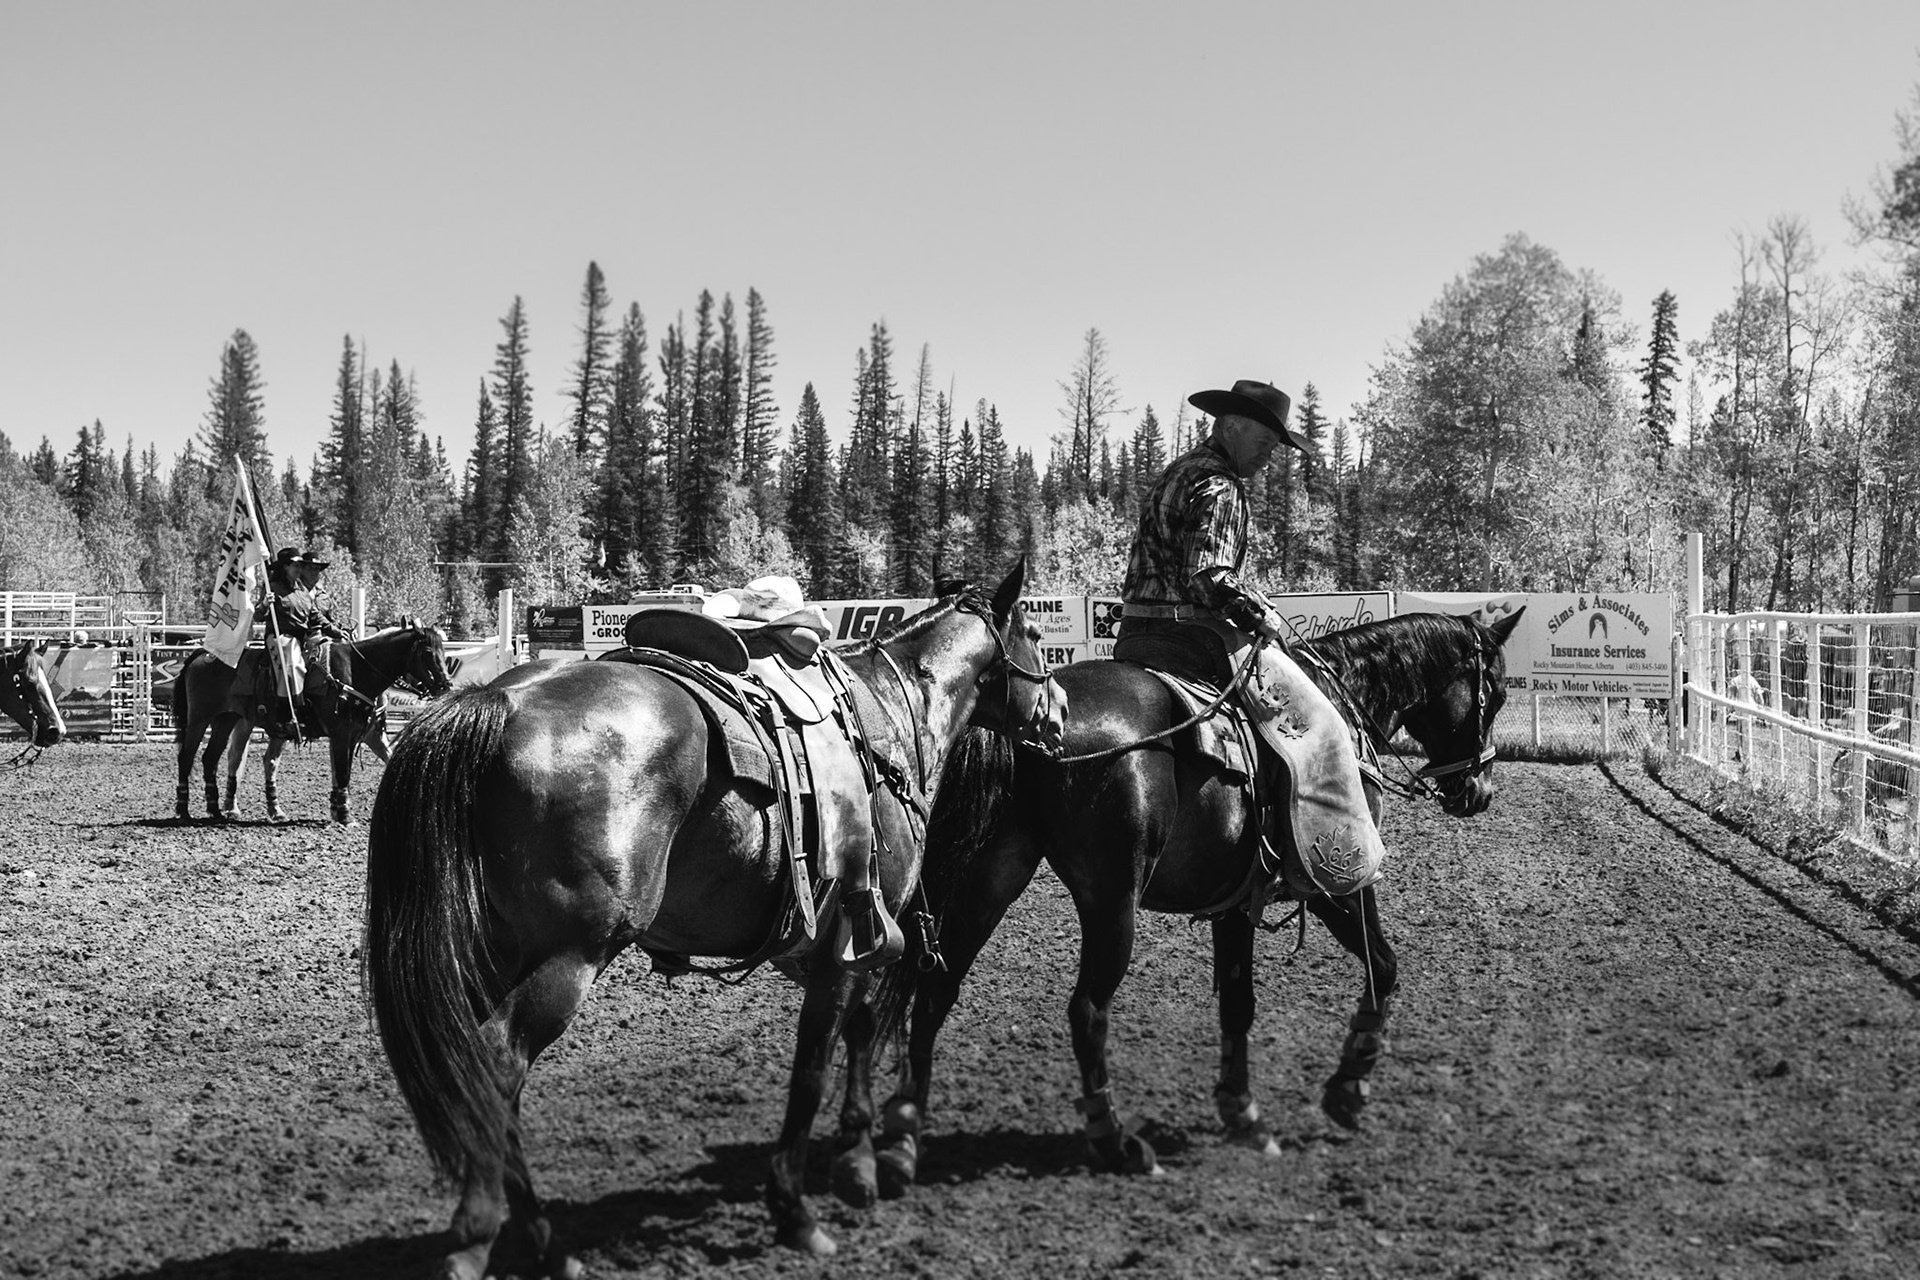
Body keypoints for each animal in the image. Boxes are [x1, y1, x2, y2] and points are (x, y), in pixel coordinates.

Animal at [172, 618, 452, 824]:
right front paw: (345, 816)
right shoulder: (341, 734)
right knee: (193, 756)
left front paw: (338, 809)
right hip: (202, 718)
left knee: (212, 758)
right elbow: (343, 771)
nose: (445, 685)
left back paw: (217, 810)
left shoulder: (361, 735)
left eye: (443, 651)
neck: (355, 670)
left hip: (225, 719)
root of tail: (203, 654)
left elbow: (351, 769)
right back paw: (187, 810)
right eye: (428, 651)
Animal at [361, 561, 1068, 1277]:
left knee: (486, 1079)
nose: (1061, 709)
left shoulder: (825, 945)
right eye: (1037, 634)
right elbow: (813, 1066)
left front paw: (858, 1161)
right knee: (497, 1062)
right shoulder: (847, 936)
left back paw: (545, 1245)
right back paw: (477, 1238)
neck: (892, 718)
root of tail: (497, 702)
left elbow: (861, 1028)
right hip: (570, 956)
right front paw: (794, 1208)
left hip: (496, 952)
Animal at [855, 608, 1524, 1191]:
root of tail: (1036, 718)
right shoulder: (1340, 882)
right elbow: (1384, 968)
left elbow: (1237, 1003)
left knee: (936, 988)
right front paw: (1348, 1088)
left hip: (992, 872)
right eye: (1494, 692)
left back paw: (902, 1135)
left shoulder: (1236, 902)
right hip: (1111, 898)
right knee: (1086, 1010)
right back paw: (1113, 1140)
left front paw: (1243, 1111)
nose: (1479, 791)